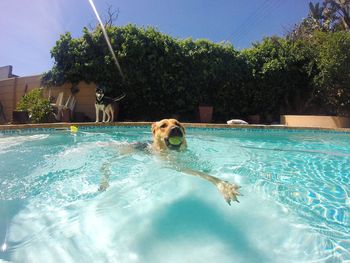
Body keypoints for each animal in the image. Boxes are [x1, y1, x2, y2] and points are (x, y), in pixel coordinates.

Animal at [98, 118, 241, 205]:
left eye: (178, 124)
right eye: (163, 126)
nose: (175, 129)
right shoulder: (177, 167)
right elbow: (204, 175)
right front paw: (224, 186)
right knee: (106, 163)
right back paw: (104, 182)